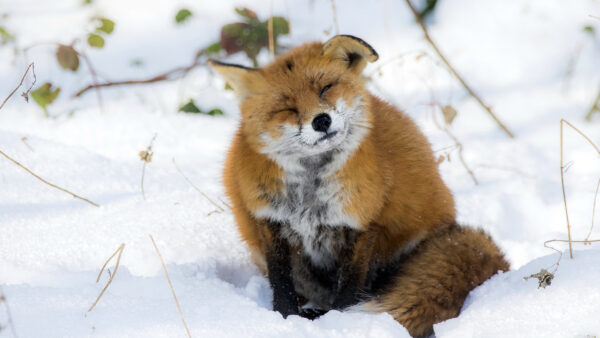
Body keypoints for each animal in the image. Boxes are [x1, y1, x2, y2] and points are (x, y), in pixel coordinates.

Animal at [209, 35, 508, 338]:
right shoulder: (271, 223)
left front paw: (339, 324)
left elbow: (349, 291)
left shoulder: (360, 224)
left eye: (326, 88)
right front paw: (285, 318)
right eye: (287, 108)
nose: (321, 120)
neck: (310, 193)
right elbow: (281, 285)